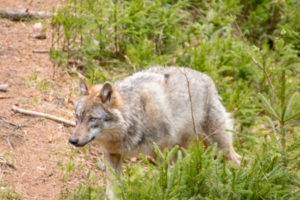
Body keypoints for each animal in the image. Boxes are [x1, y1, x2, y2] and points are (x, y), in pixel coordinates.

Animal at [69, 66, 240, 198]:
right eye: (77, 116)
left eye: (92, 119)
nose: (72, 140)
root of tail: (208, 78)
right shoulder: (112, 155)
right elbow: (112, 189)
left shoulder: (161, 154)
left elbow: (161, 182)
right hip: (181, 151)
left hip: (218, 144)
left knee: (236, 158)